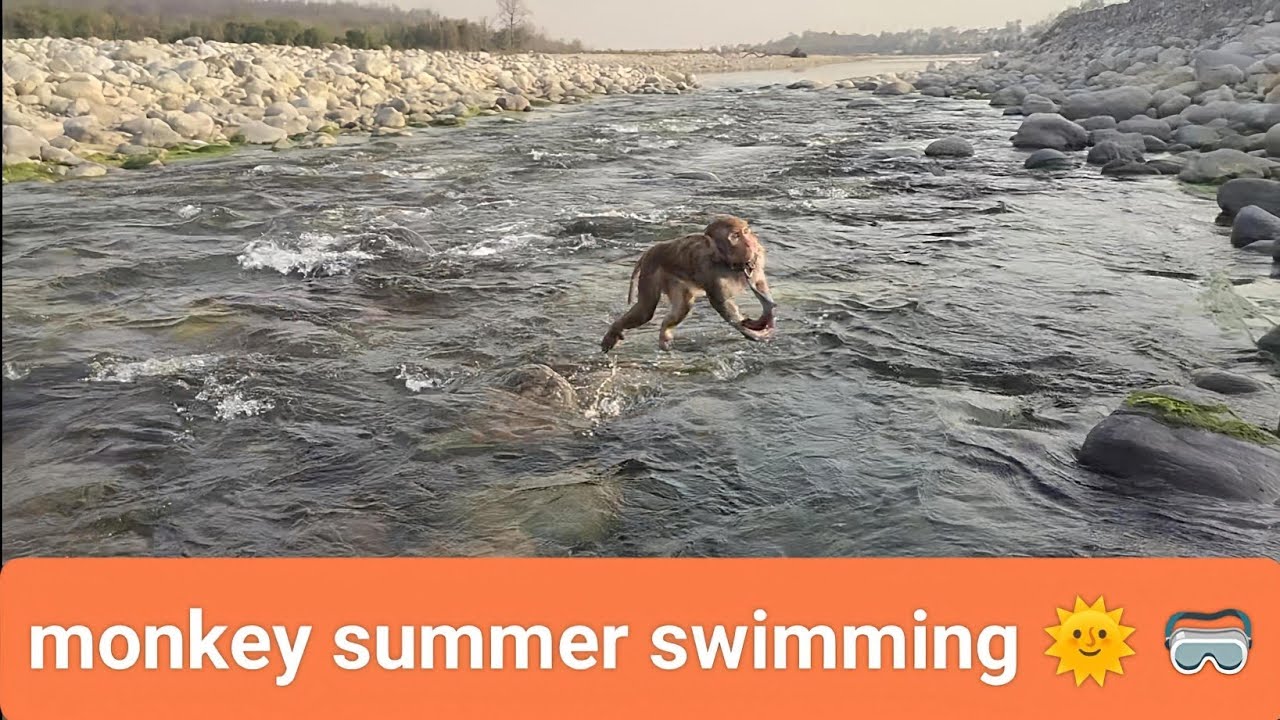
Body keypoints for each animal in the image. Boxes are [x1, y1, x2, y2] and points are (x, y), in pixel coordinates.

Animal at [601, 215, 778, 353]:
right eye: (735, 236)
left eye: (745, 232)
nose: (749, 243)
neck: (728, 262)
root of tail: (648, 251)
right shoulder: (710, 270)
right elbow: (722, 303)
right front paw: (751, 333)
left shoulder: (754, 261)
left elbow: (759, 283)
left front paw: (767, 317)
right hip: (651, 271)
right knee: (645, 311)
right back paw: (615, 330)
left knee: (682, 308)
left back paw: (664, 334)